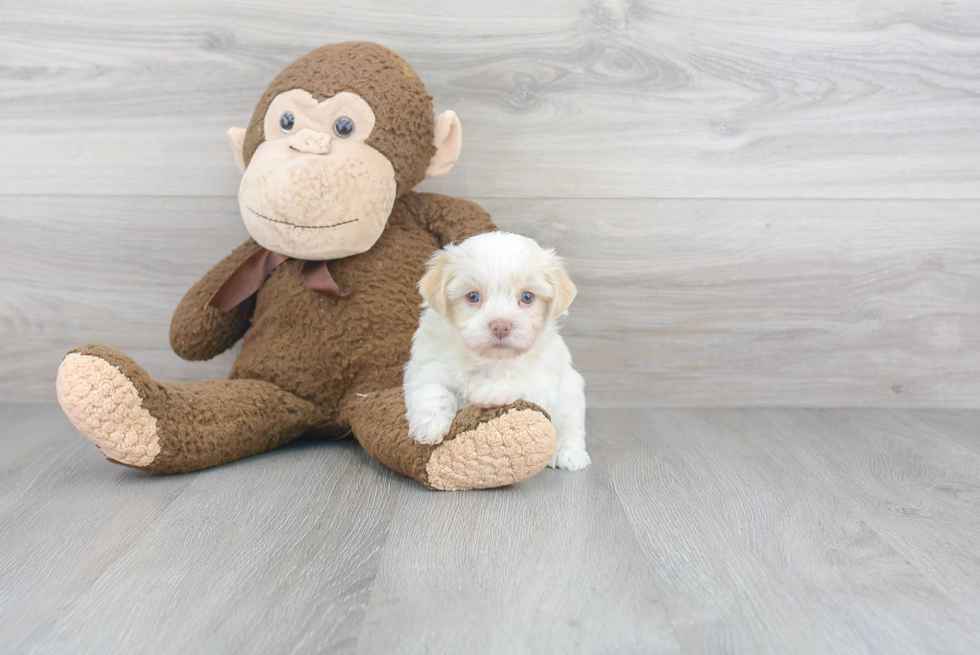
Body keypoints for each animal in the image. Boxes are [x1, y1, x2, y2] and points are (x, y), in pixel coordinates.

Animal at [406, 232, 588, 472]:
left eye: (527, 297)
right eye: (473, 296)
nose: (501, 326)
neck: (489, 360)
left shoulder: (543, 377)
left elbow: (521, 382)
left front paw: (490, 393)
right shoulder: (428, 366)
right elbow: (433, 391)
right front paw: (429, 425)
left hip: (572, 392)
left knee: (571, 427)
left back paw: (569, 452)